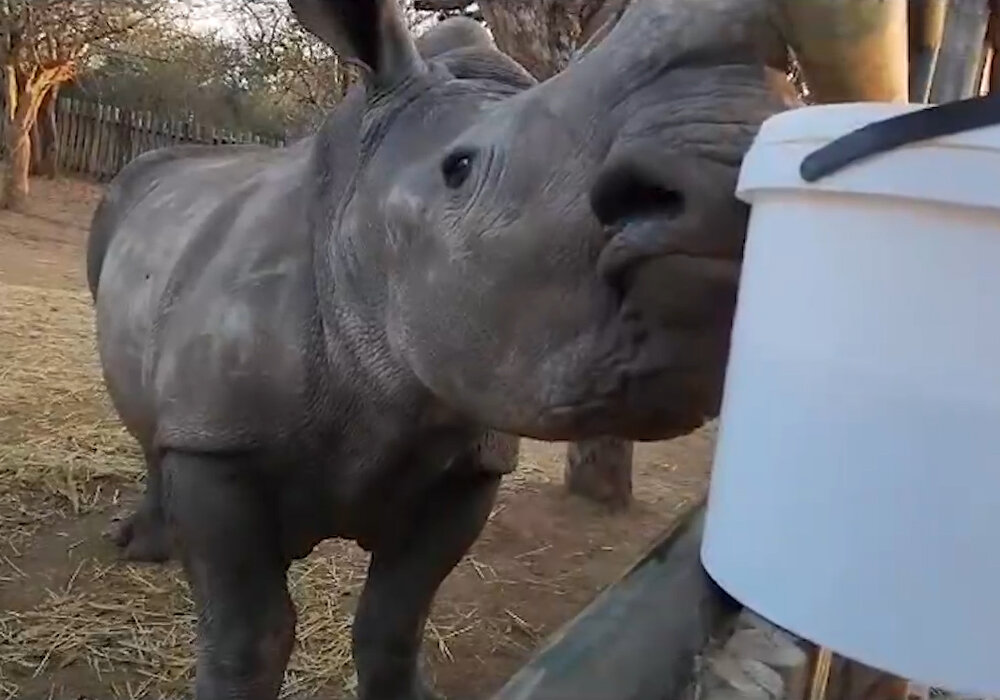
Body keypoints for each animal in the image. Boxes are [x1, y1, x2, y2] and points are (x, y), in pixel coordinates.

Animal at [85, 0, 793, 697]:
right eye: (459, 169)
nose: (723, 190)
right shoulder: (217, 438)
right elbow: (248, 638)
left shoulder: (470, 460)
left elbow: (394, 622)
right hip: (122, 212)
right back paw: (142, 546)